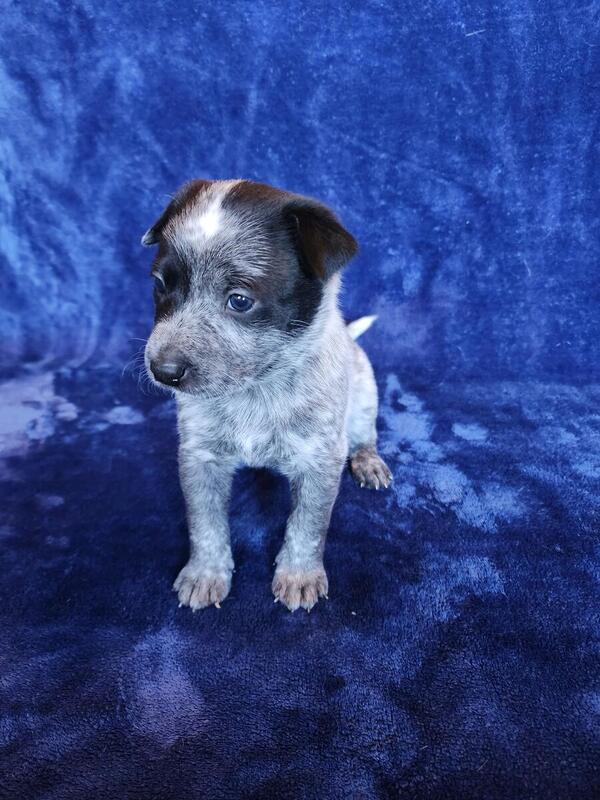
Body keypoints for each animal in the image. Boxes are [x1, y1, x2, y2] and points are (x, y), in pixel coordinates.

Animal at [142, 179, 392, 612]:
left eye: (240, 300)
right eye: (160, 285)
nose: (163, 371)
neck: (255, 388)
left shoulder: (320, 460)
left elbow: (308, 526)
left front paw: (299, 576)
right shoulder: (199, 456)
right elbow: (205, 523)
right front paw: (206, 573)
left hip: (363, 398)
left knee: (366, 436)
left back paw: (369, 463)